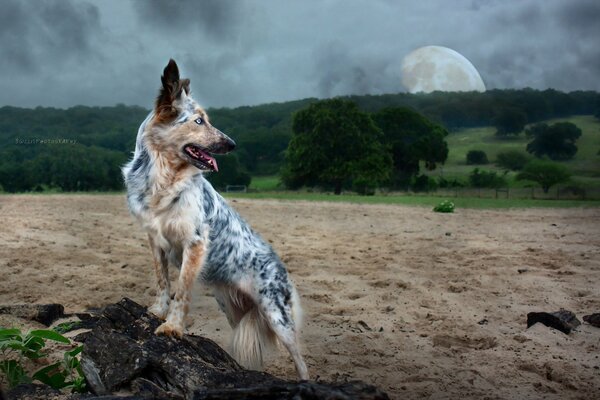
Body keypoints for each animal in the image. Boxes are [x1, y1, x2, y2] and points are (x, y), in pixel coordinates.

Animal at [122, 57, 310, 380]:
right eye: (198, 121)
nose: (232, 144)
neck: (164, 177)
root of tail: (281, 267)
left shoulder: (195, 242)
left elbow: (182, 291)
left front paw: (173, 327)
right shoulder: (154, 239)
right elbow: (162, 281)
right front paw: (158, 311)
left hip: (277, 315)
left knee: (301, 360)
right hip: (233, 309)